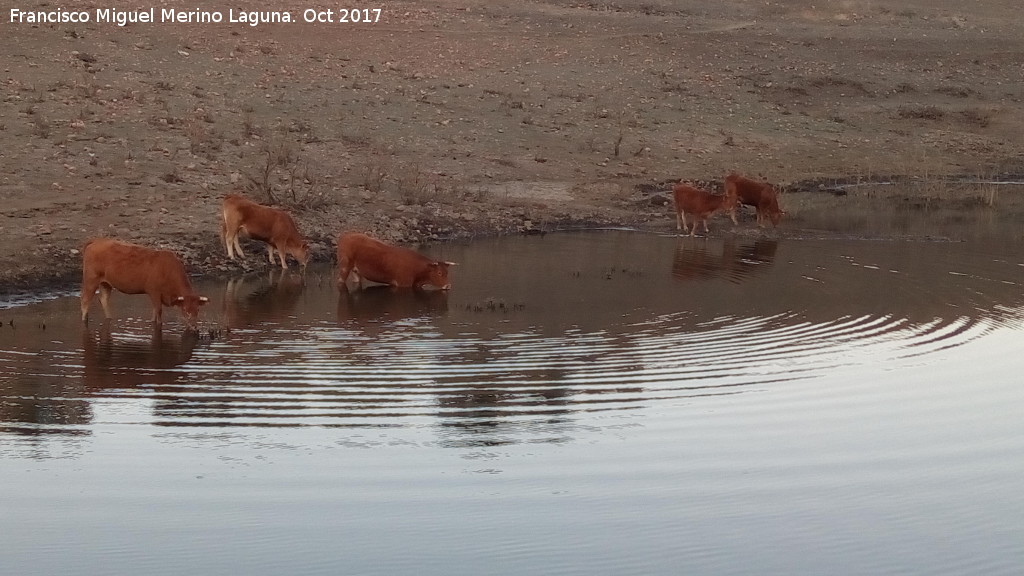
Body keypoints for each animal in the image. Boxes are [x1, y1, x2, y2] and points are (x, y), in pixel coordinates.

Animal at [80, 238, 209, 329]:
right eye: (185, 310)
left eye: (198, 310)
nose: (194, 327)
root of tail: (97, 241)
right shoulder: (154, 292)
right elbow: (158, 311)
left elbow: (154, 312)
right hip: (91, 279)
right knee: (85, 300)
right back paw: (84, 320)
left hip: (106, 283)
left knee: (104, 299)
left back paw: (109, 318)